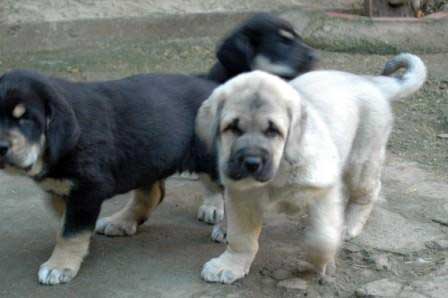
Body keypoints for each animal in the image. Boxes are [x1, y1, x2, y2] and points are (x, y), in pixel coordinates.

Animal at [197, 54, 428, 284]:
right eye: (232, 128)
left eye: (273, 131)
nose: (251, 162)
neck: (280, 170)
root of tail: (368, 81)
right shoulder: (242, 195)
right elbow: (241, 238)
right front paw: (230, 265)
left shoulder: (324, 191)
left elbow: (322, 238)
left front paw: (321, 264)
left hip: (361, 160)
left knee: (369, 191)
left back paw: (350, 223)